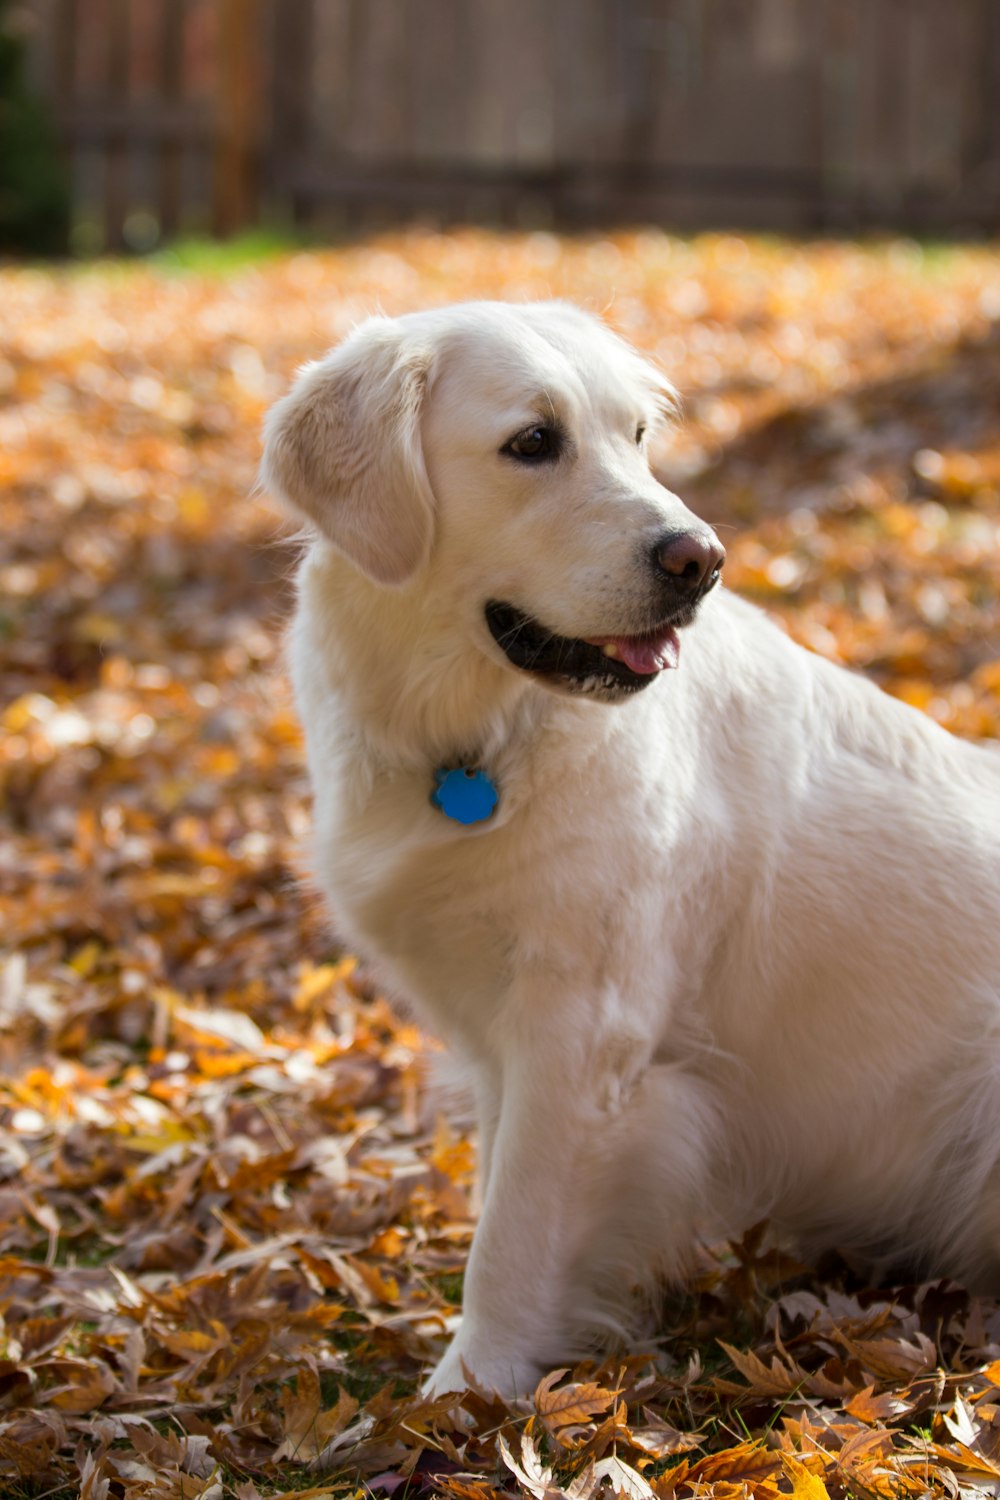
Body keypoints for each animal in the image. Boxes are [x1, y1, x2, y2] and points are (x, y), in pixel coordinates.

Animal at [263, 298, 1000, 1398]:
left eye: (638, 435)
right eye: (532, 442)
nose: (701, 559)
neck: (479, 738)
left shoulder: (583, 1032)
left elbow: (514, 1235)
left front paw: (466, 1393)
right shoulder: (508, 1040)